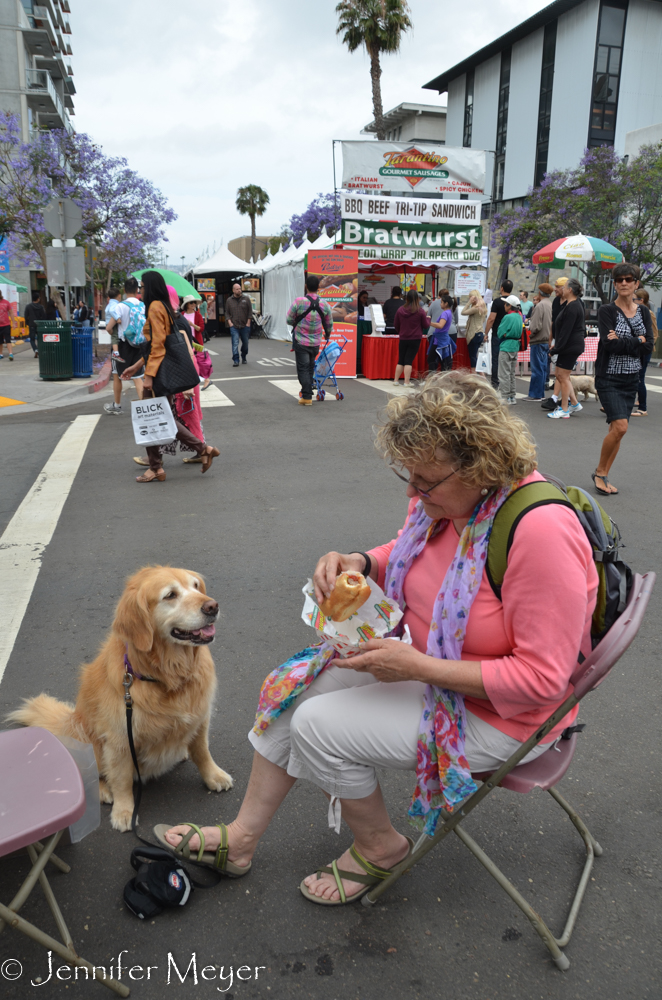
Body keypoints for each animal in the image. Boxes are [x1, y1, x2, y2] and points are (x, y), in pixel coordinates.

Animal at [7, 568, 233, 832]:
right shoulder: (120, 737)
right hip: (86, 736)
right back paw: (104, 791)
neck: (166, 676)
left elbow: (202, 750)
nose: (212, 606)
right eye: (170, 595)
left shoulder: (200, 717)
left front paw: (213, 776)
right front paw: (124, 811)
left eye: (196, 586)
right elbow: (122, 778)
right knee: (92, 772)